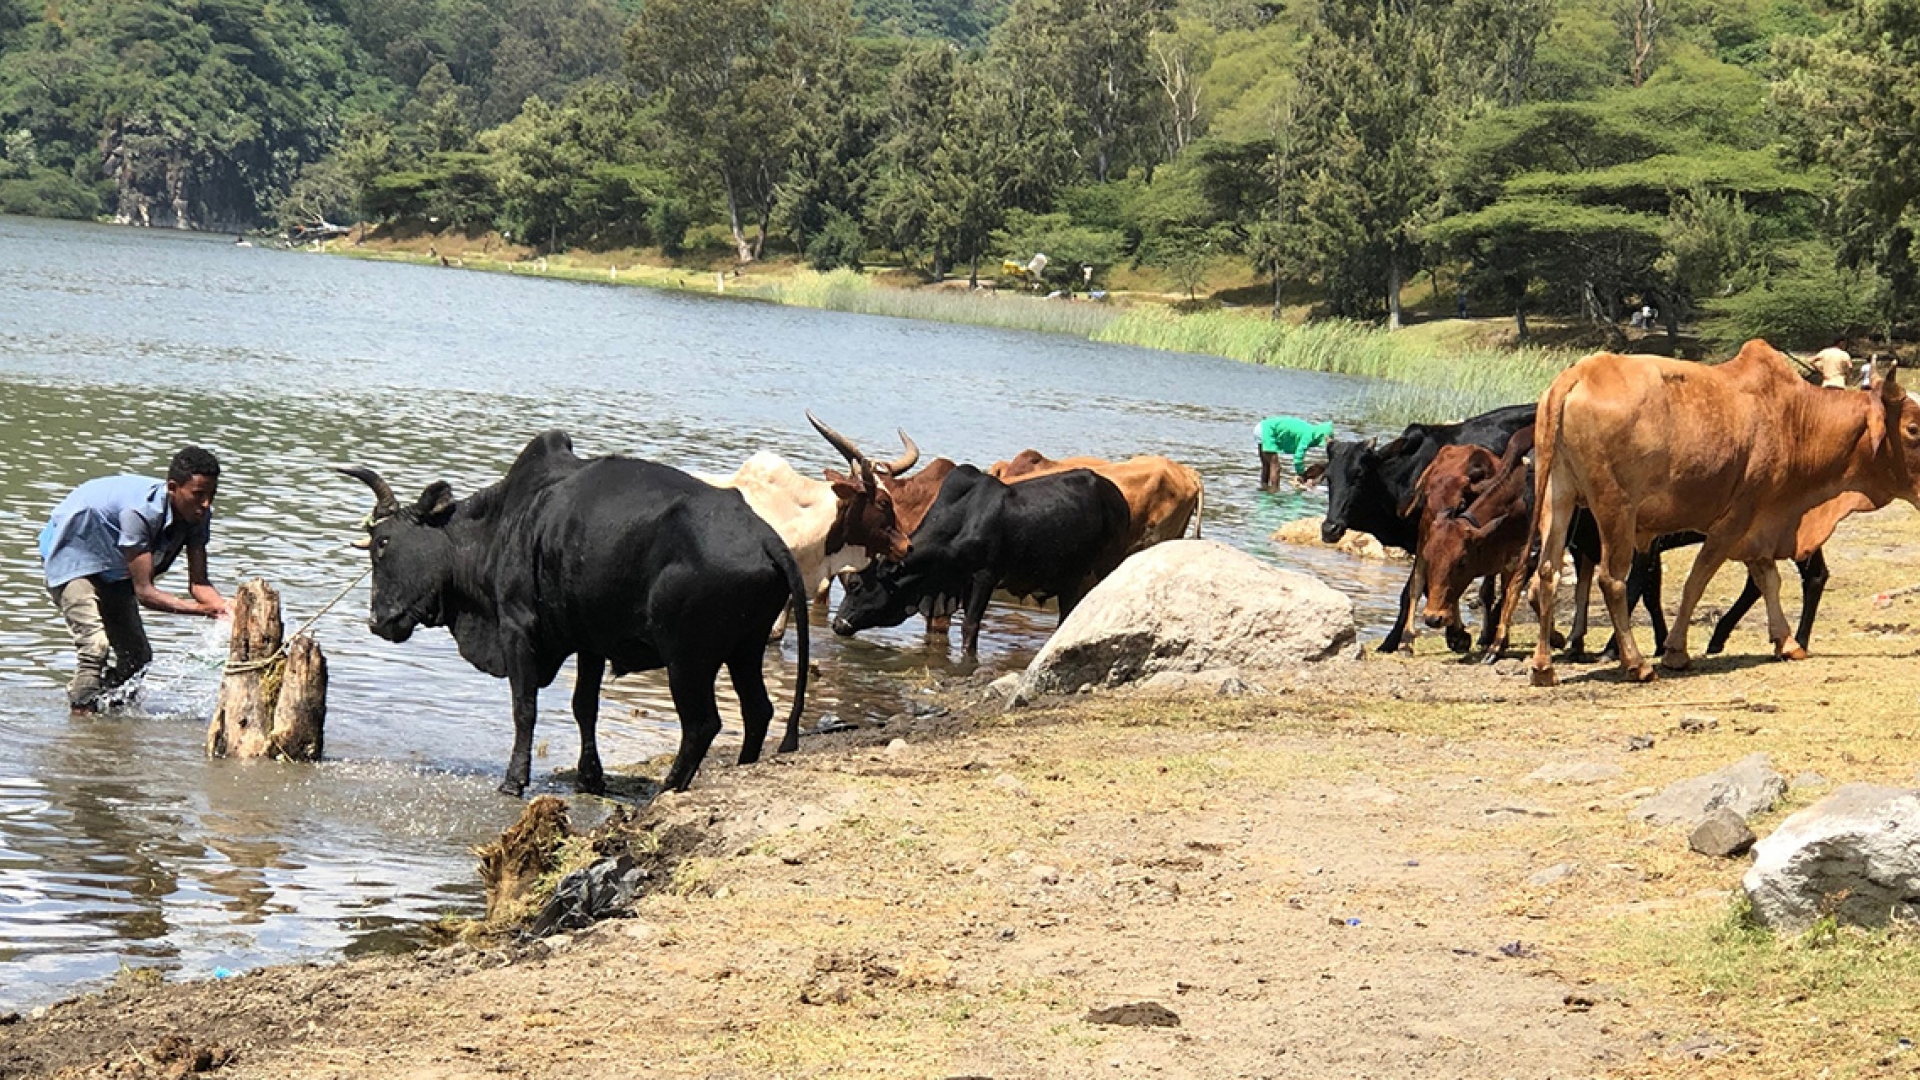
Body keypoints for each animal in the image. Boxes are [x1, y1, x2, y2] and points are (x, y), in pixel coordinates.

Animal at [341, 426, 806, 791]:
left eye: (383, 544)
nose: (377, 621)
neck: (502, 524)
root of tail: (765, 536)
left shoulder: (517, 628)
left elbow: (524, 708)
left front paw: (514, 780)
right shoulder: (590, 642)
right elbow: (585, 707)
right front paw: (590, 777)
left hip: (688, 659)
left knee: (702, 724)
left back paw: (669, 788)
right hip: (746, 649)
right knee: (757, 710)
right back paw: (741, 769)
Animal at [833, 461, 1128, 645]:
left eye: (856, 585)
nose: (837, 624)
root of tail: (1115, 494)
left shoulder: (985, 576)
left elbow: (970, 626)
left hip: (1102, 567)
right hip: (1070, 578)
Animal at [1528, 336, 1920, 680]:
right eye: (1914, 428)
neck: (1795, 418)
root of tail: (1577, 374)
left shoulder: (1760, 524)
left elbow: (1768, 579)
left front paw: (1786, 641)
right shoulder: (1736, 519)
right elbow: (1697, 580)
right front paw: (1675, 651)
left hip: (1558, 498)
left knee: (1547, 572)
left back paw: (1543, 667)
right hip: (1616, 511)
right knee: (1611, 579)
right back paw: (1636, 663)